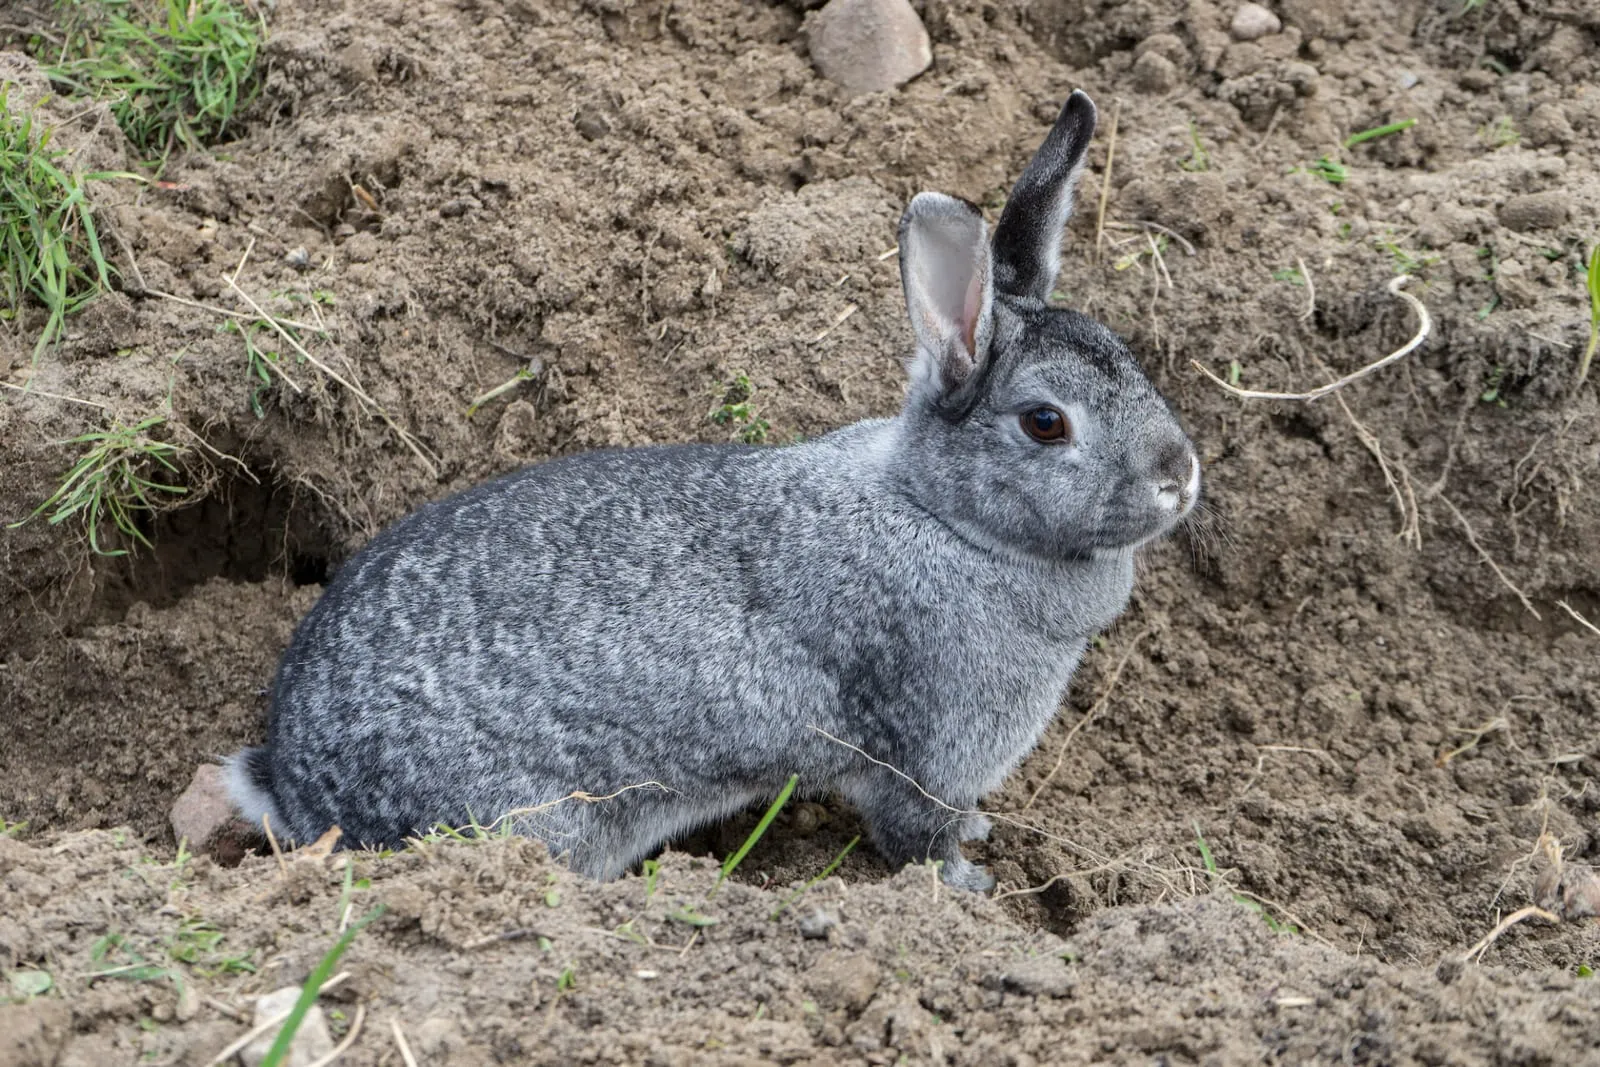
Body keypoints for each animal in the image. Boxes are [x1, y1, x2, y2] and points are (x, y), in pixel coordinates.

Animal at [224, 90, 1200, 893]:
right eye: (1045, 423)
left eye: (1129, 358)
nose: (1179, 475)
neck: (943, 513)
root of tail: (296, 785)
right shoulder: (923, 753)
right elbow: (914, 835)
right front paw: (970, 883)